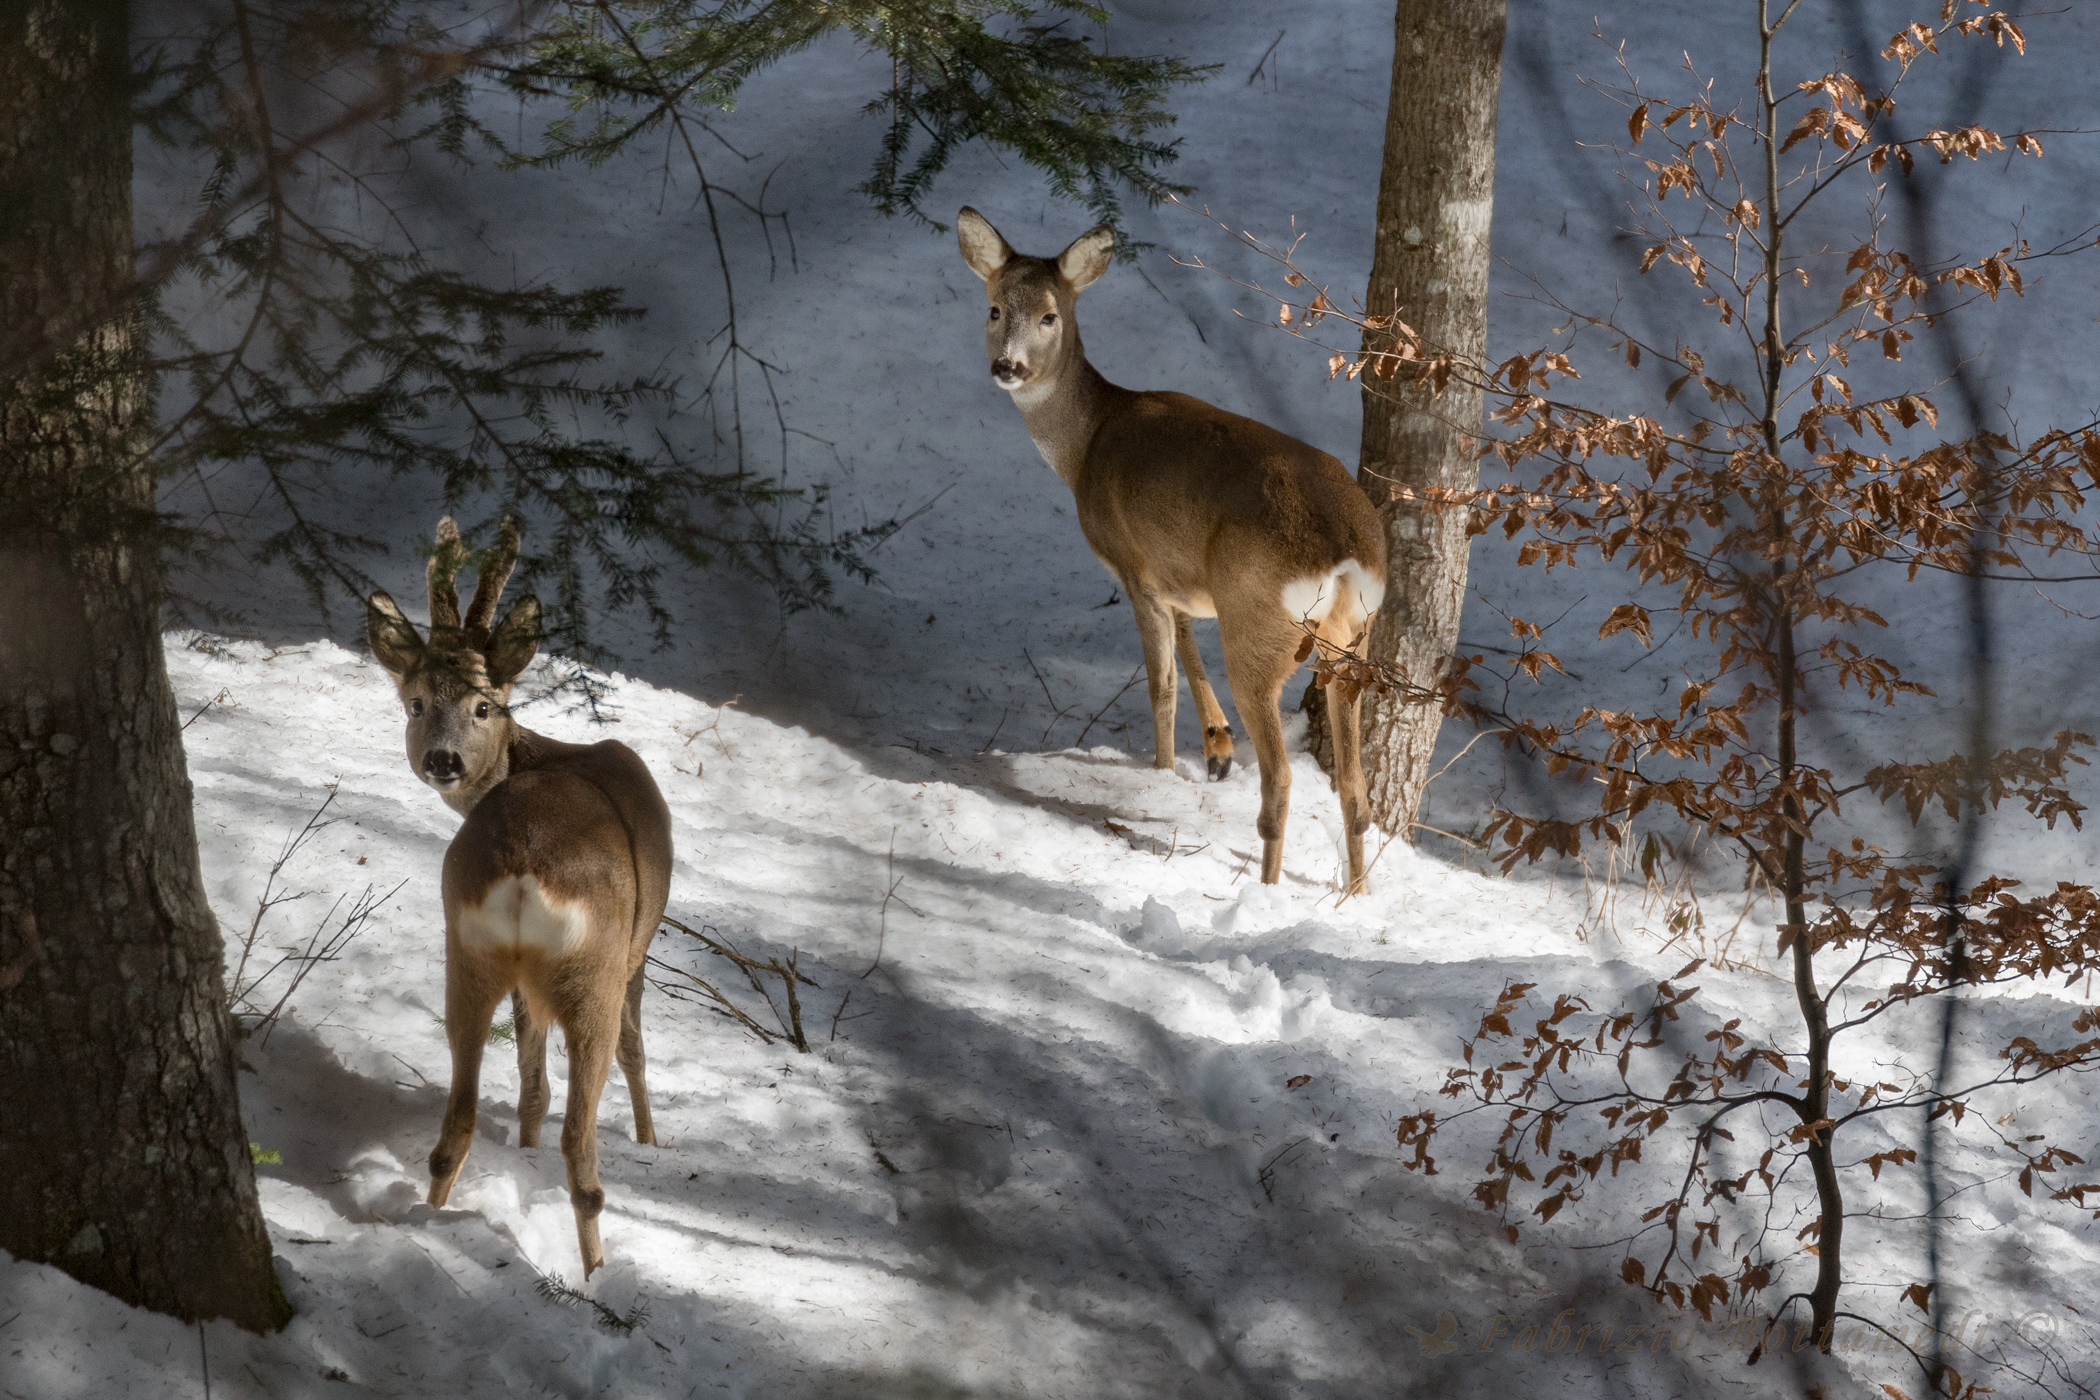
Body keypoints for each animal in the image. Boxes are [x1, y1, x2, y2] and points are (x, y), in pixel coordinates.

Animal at [365, 516, 673, 1278]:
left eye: (483, 705)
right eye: (416, 703)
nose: (442, 759)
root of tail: (524, 865)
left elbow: (530, 1081)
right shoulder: (639, 949)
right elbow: (635, 1052)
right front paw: (651, 1140)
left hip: (467, 952)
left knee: (461, 1117)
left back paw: (434, 1216)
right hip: (593, 970)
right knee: (580, 1141)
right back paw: (597, 1273)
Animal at [956, 207, 1389, 894]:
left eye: (1051, 316)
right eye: (994, 308)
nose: (1009, 367)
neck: (1086, 444)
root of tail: (1349, 557)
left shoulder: (1132, 564)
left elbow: (1161, 683)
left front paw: (1164, 771)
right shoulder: (1178, 573)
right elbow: (1186, 639)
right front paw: (1214, 748)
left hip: (1259, 625)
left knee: (1281, 776)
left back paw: (1265, 890)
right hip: (1353, 641)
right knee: (1352, 783)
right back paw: (1354, 895)